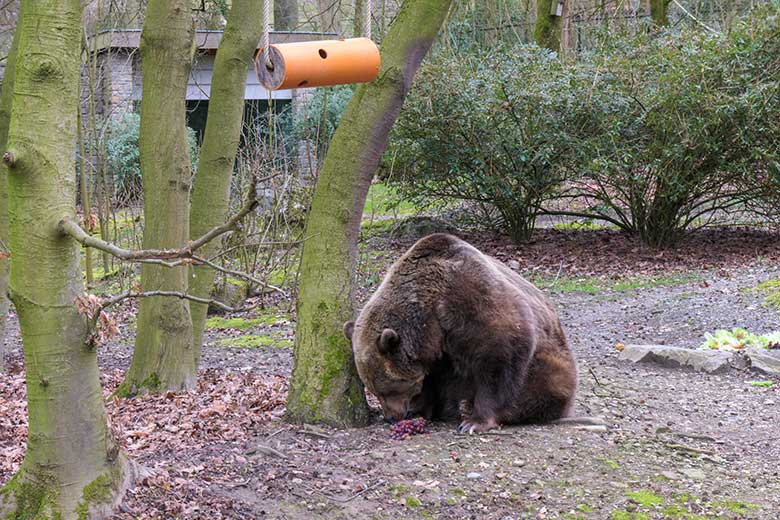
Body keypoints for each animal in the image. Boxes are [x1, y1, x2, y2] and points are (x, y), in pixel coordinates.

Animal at [344, 234, 576, 432]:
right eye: (374, 390)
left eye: (387, 389)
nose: (391, 416)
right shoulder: (435, 348)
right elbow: (431, 378)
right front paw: (422, 409)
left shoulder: (472, 301)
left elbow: (500, 358)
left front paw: (475, 422)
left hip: (553, 363)